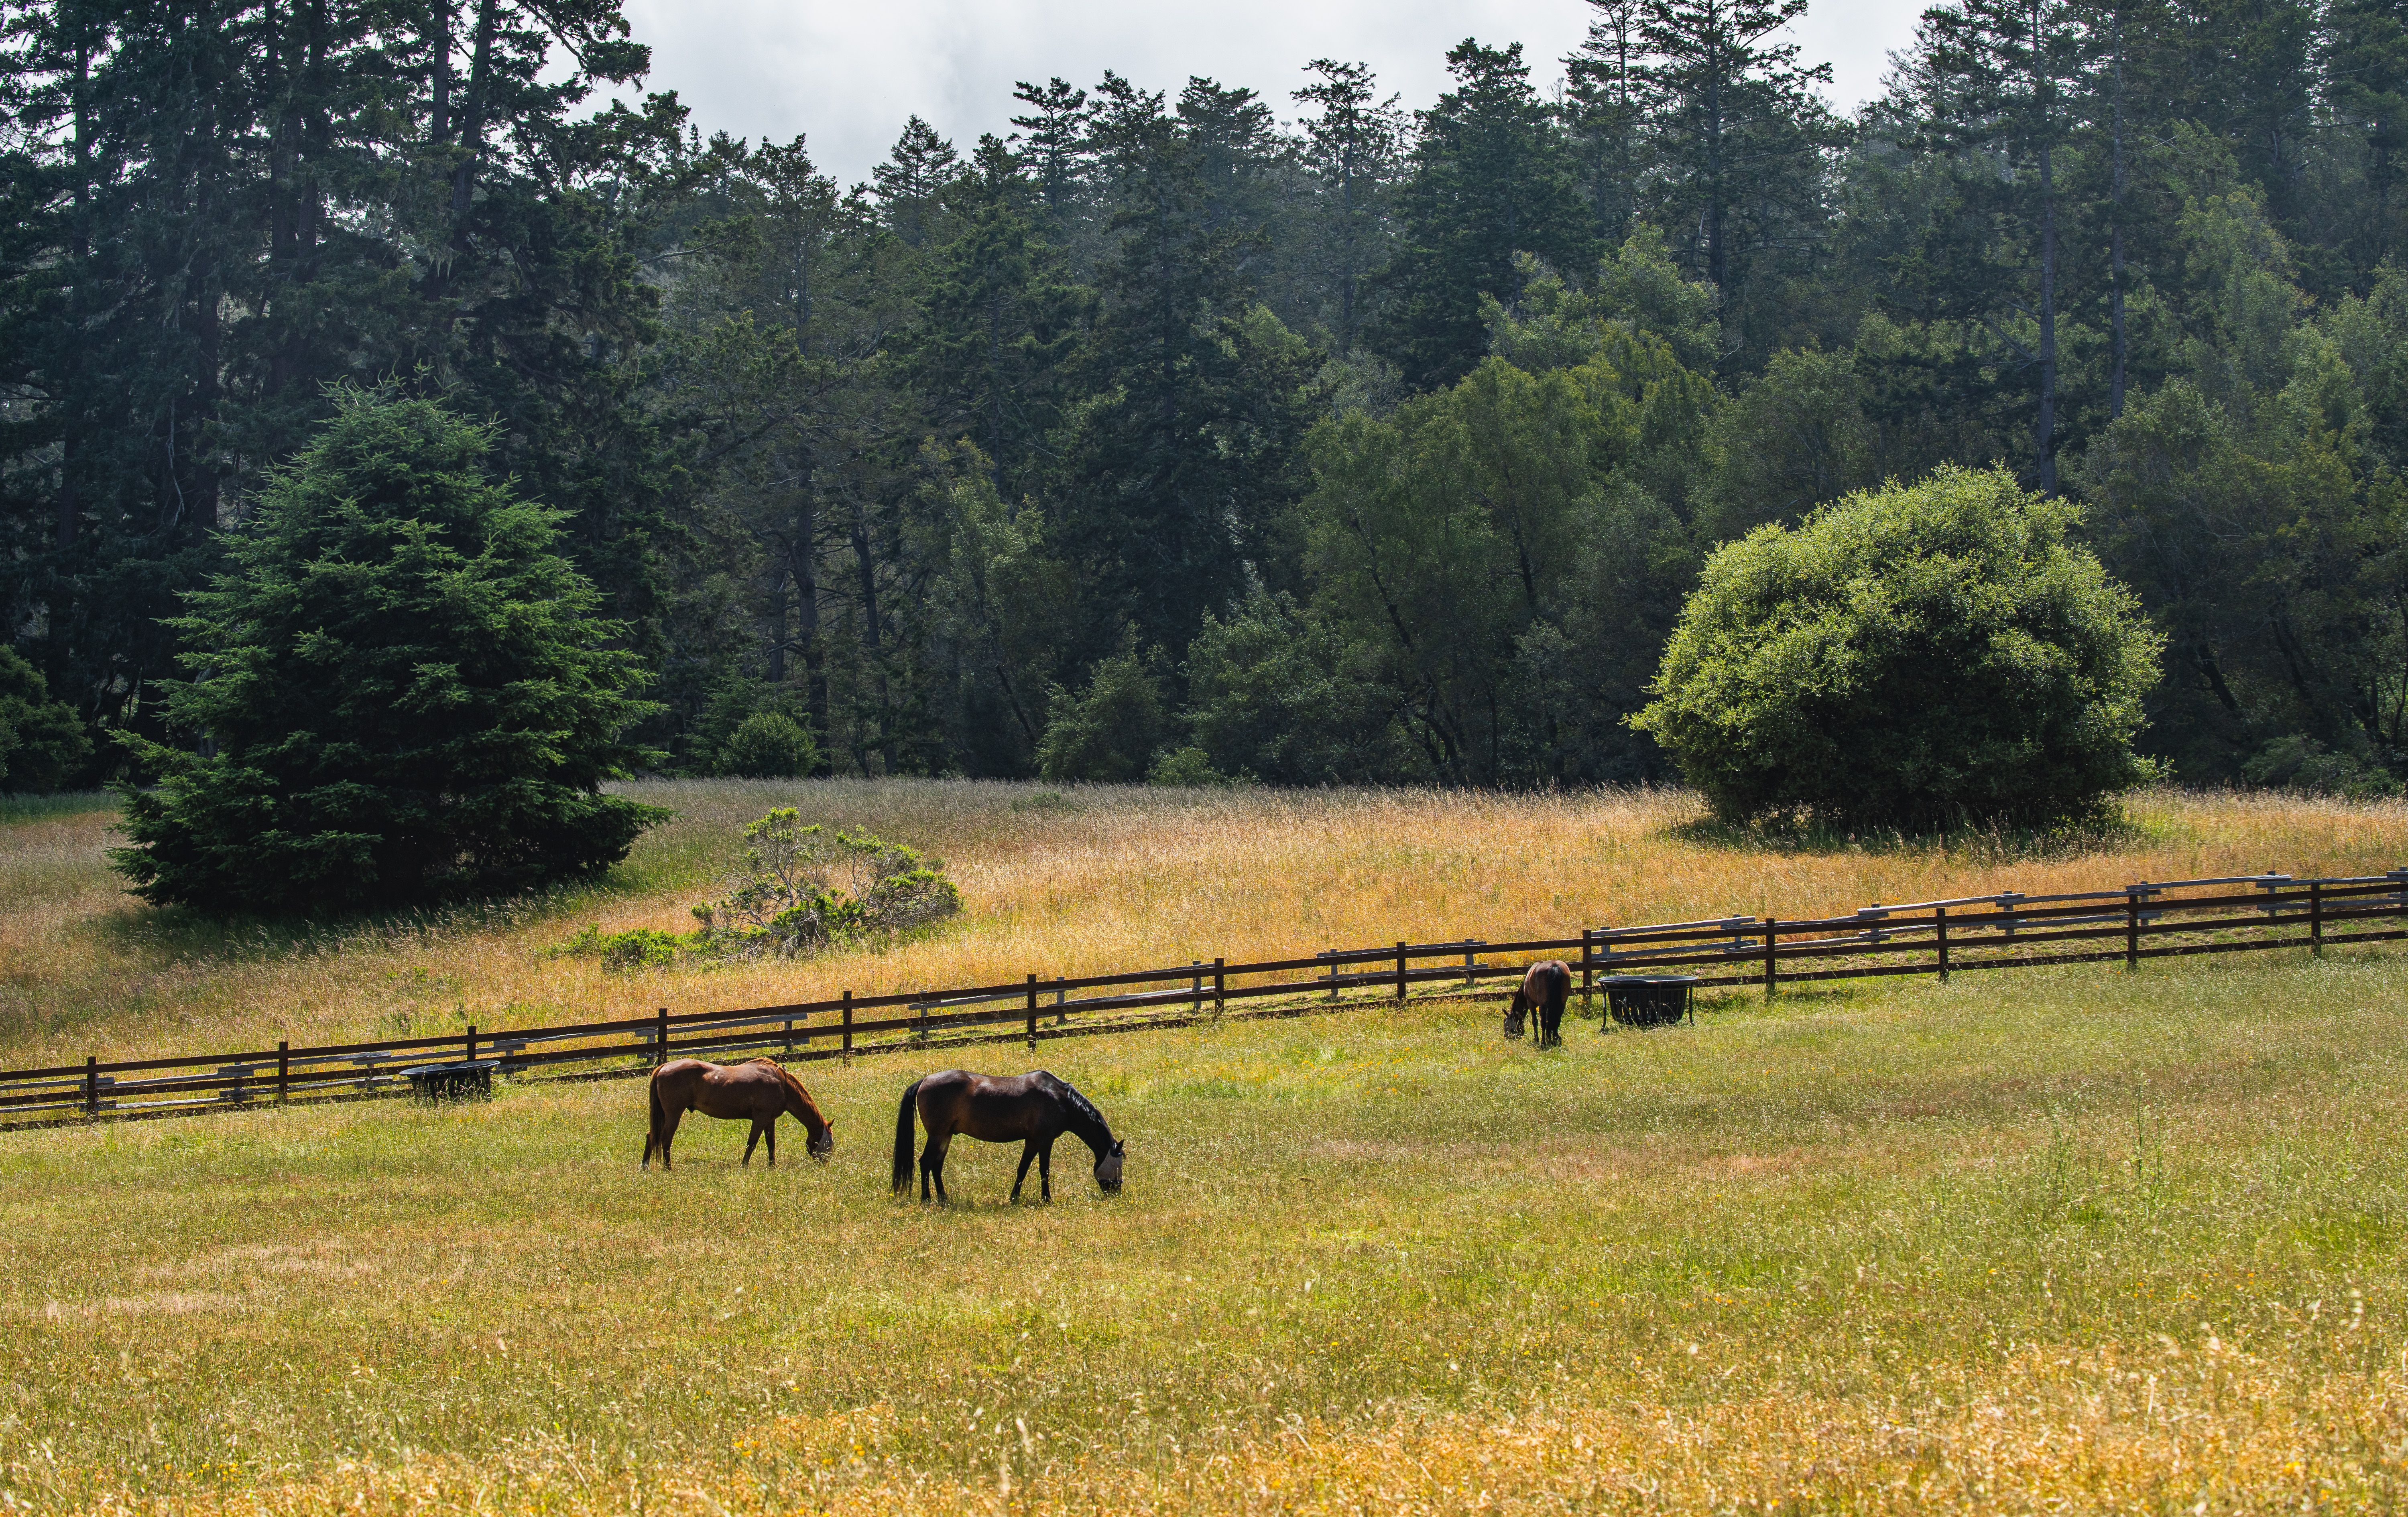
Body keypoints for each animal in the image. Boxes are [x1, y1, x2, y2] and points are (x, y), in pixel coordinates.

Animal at [642, 1057, 835, 1171]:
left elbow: (771, 1144)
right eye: (829, 1143)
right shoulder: (760, 1118)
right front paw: (744, 1167)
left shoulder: (770, 1120)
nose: (825, 1164)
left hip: (665, 1115)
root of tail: (664, 1067)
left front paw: (772, 1167)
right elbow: (752, 1144)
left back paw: (645, 1167)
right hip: (674, 1114)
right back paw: (668, 1169)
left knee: (651, 1136)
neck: (782, 1084)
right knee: (666, 1139)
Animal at [890, 1069, 1125, 1204]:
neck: (1060, 1099)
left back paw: (943, 1198)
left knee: (936, 1165)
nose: (1117, 1192)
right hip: (938, 1135)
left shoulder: (1032, 1142)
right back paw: (927, 1199)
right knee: (925, 1163)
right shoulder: (1045, 1141)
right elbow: (1044, 1171)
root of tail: (924, 1081)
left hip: (946, 1136)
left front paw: (1014, 1198)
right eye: (1118, 1164)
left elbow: (1023, 1170)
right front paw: (1047, 1199)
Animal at [1502, 960, 1573, 1049]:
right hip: (1562, 1004)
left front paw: (1536, 1039)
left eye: (1506, 1024)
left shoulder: (1531, 1004)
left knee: (1543, 1023)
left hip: (1543, 1006)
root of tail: (1554, 966)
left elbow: (1535, 1022)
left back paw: (1544, 1043)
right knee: (1557, 1020)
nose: (1506, 1036)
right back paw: (1556, 1040)